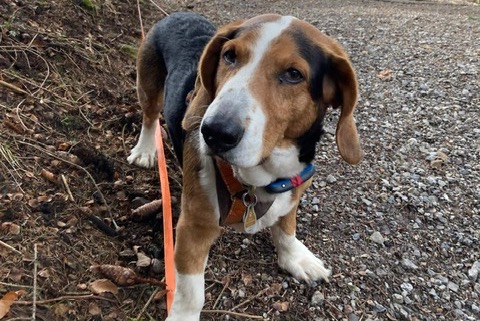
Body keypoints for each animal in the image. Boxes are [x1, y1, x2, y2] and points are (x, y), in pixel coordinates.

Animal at [129, 11, 362, 318]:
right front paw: (182, 316)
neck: (260, 177)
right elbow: (191, 292)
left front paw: (295, 257)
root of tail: (179, 13)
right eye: (229, 55)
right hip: (148, 84)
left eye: (294, 74)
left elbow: (286, 227)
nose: (215, 132)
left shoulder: (296, 187)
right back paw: (144, 150)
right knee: (149, 116)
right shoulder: (193, 226)